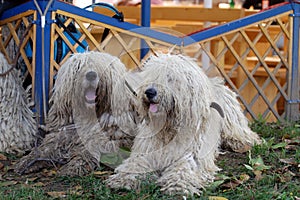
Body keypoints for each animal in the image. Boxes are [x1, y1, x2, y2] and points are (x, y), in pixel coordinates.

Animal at [106, 52, 262, 195]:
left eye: (170, 78)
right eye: (152, 77)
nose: (149, 92)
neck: (169, 129)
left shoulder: (192, 155)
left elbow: (183, 169)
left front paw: (177, 185)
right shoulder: (147, 151)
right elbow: (136, 164)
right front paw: (124, 178)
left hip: (233, 124)